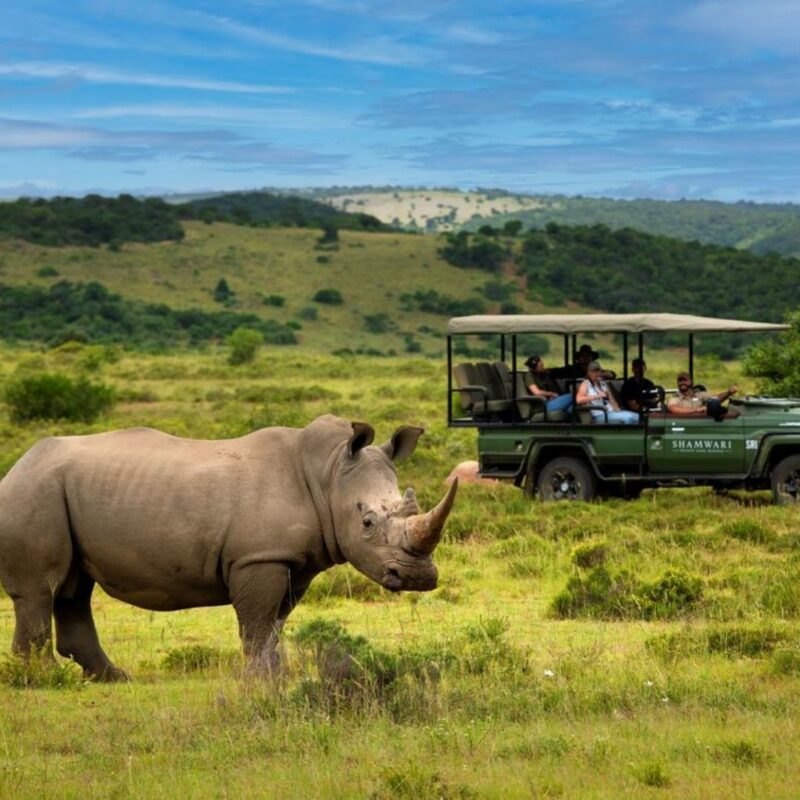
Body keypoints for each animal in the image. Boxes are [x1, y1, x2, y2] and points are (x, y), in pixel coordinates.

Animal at [0, 415, 457, 681]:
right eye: (367, 523)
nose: (418, 578)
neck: (328, 473)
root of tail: (19, 463)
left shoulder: (294, 562)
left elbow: (275, 621)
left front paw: (278, 675)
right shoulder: (259, 556)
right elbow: (257, 621)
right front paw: (261, 681)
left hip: (60, 491)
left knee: (74, 588)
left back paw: (113, 678)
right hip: (35, 490)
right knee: (42, 589)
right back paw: (44, 678)